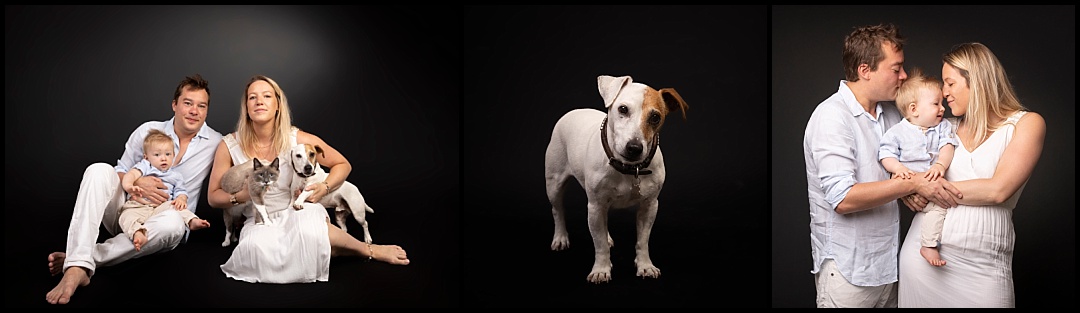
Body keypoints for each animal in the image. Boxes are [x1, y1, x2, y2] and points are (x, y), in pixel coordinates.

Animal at [544, 73, 686, 282]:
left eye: (655, 117)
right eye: (623, 109)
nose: (634, 148)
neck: (628, 168)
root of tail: (574, 111)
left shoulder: (649, 207)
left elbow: (642, 241)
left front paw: (645, 265)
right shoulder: (595, 206)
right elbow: (599, 244)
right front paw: (601, 269)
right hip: (554, 184)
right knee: (558, 210)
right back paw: (560, 237)